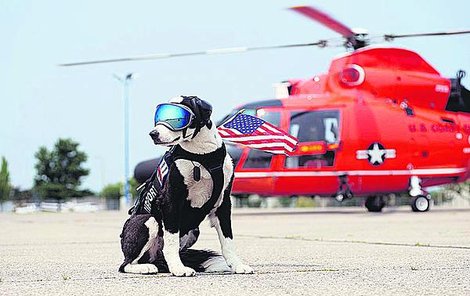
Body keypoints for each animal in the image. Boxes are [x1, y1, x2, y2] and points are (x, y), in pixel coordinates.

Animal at [119, 96, 255, 276]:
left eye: (177, 118)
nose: (153, 133)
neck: (202, 154)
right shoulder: (170, 201)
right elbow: (171, 241)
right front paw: (178, 268)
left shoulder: (224, 203)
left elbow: (228, 240)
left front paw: (237, 265)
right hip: (148, 220)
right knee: (125, 264)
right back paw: (146, 267)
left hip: (193, 232)